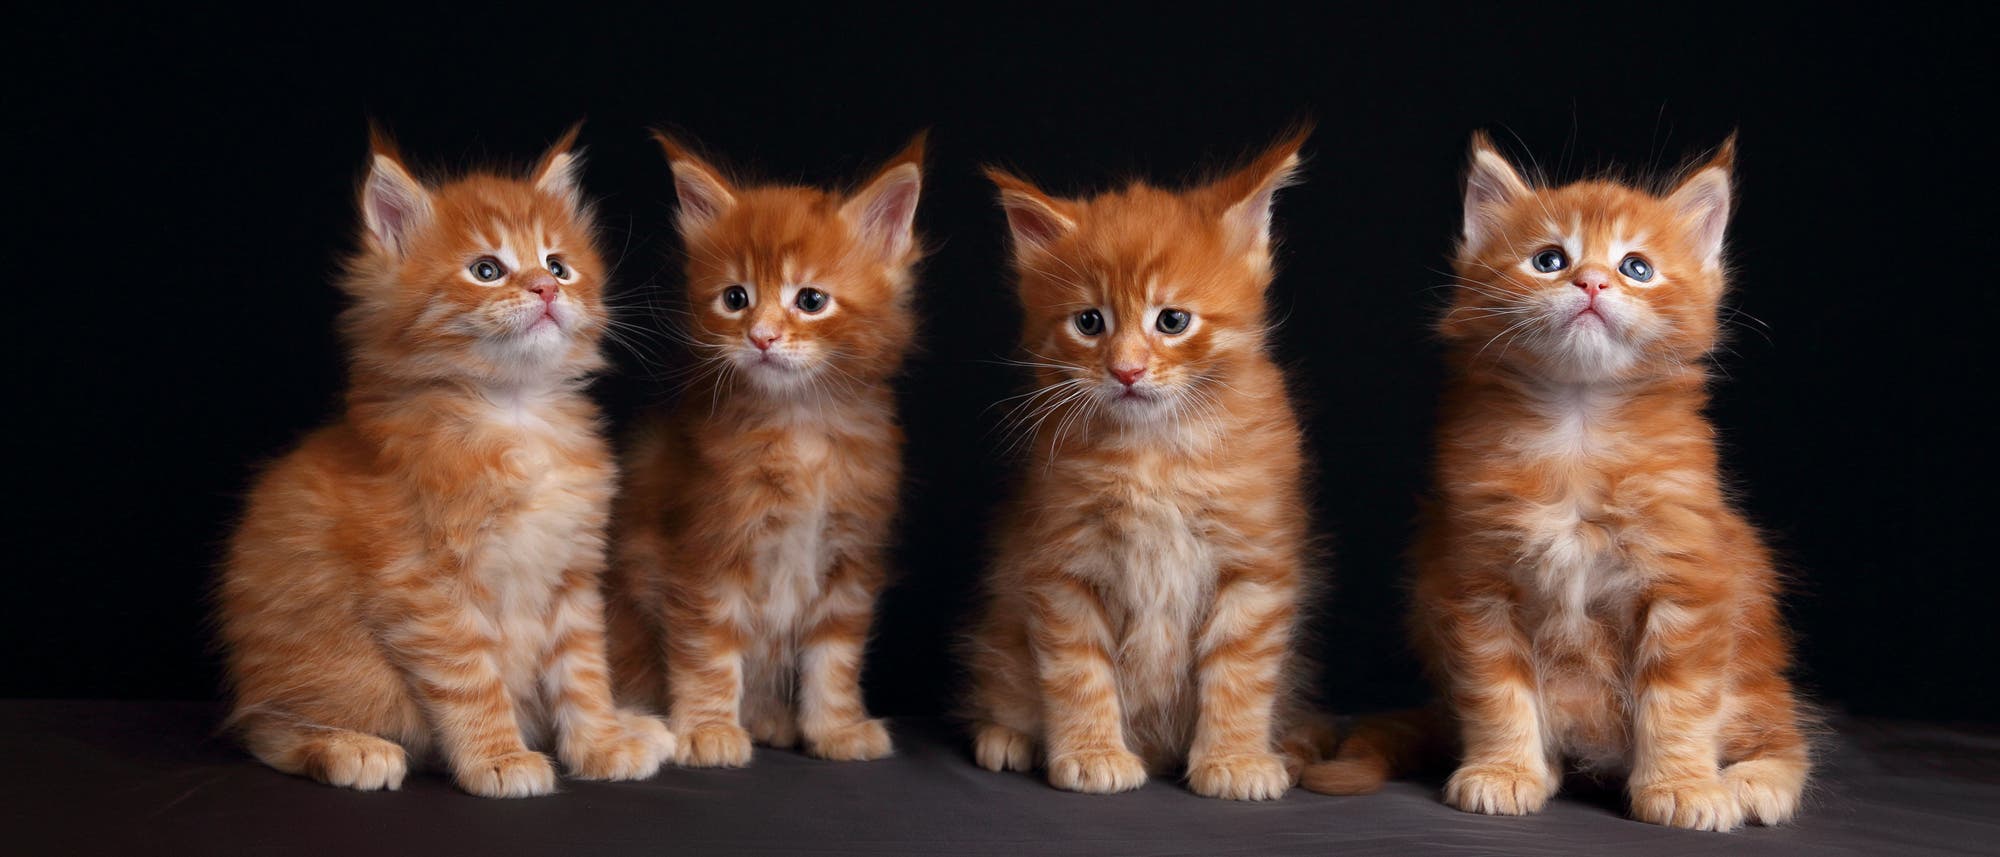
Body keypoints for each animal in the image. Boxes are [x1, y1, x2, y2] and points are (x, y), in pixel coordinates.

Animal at [216, 127, 676, 796]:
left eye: (557, 265)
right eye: (486, 270)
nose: (546, 289)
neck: (514, 413)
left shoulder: (572, 573)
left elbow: (584, 673)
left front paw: (600, 745)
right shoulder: (426, 586)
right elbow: (472, 683)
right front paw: (500, 759)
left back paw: (633, 725)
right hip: (342, 674)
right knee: (263, 729)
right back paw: (349, 747)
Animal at [604, 135, 924, 768]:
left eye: (810, 300)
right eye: (735, 298)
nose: (762, 336)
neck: (801, 430)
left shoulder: (849, 556)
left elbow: (834, 657)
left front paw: (836, 730)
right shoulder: (703, 552)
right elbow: (707, 649)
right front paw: (707, 730)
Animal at [964, 130, 1336, 800]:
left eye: (1172, 321)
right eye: (1089, 322)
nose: (1127, 370)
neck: (1155, 454)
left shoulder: (1256, 562)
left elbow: (1240, 673)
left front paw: (1236, 759)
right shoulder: (1061, 563)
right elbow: (1078, 670)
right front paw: (1092, 754)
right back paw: (1008, 735)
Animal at [1304, 134, 1824, 828]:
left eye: (1636, 268)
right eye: (1549, 260)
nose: (1593, 281)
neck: (1577, 430)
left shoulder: (1689, 584)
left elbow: (1679, 703)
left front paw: (1683, 786)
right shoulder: (1475, 585)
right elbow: (1498, 694)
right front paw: (1504, 770)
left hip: (1752, 678)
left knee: (1785, 735)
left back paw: (1752, 782)